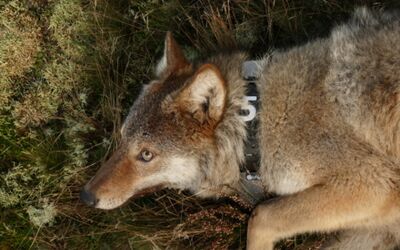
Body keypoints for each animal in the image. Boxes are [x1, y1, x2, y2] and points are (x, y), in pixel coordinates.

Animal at [80, 7, 400, 250]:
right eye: (122, 138)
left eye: (146, 155)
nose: (86, 196)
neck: (257, 129)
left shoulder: (370, 185)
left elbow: (260, 216)